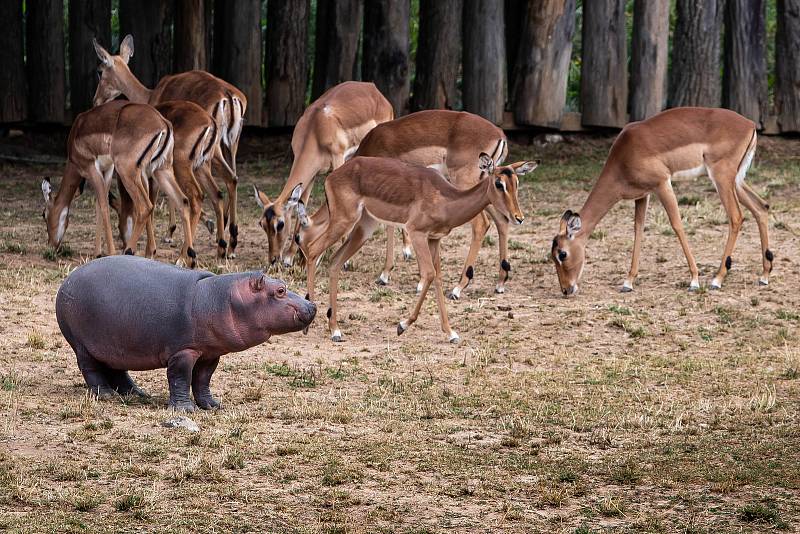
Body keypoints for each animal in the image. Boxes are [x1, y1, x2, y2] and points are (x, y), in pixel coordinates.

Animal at [55, 258, 316, 412]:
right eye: (280, 290)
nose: (312, 306)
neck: (219, 297)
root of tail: (68, 279)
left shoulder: (210, 353)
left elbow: (202, 379)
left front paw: (212, 405)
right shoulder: (183, 351)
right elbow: (180, 377)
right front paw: (185, 409)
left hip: (116, 344)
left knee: (118, 370)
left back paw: (138, 393)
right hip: (82, 345)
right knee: (91, 370)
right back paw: (106, 395)